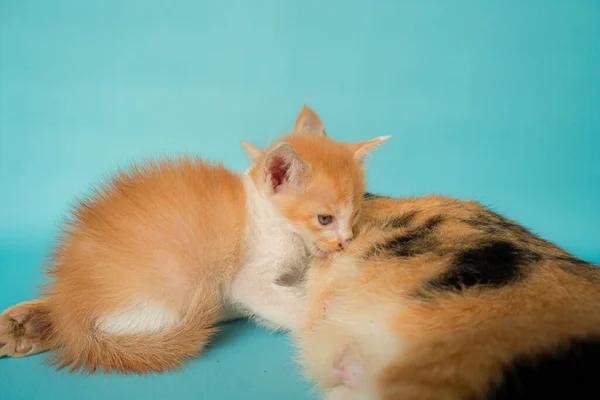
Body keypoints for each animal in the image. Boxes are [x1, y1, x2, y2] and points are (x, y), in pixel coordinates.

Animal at [0, 105, 390, 372]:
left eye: (356, 212)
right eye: (325, 218)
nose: (345, 241)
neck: (267, 216)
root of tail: (71, 307)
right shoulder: (248, 280)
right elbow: (286, 303)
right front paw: (330, 316)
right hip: (163, 299)